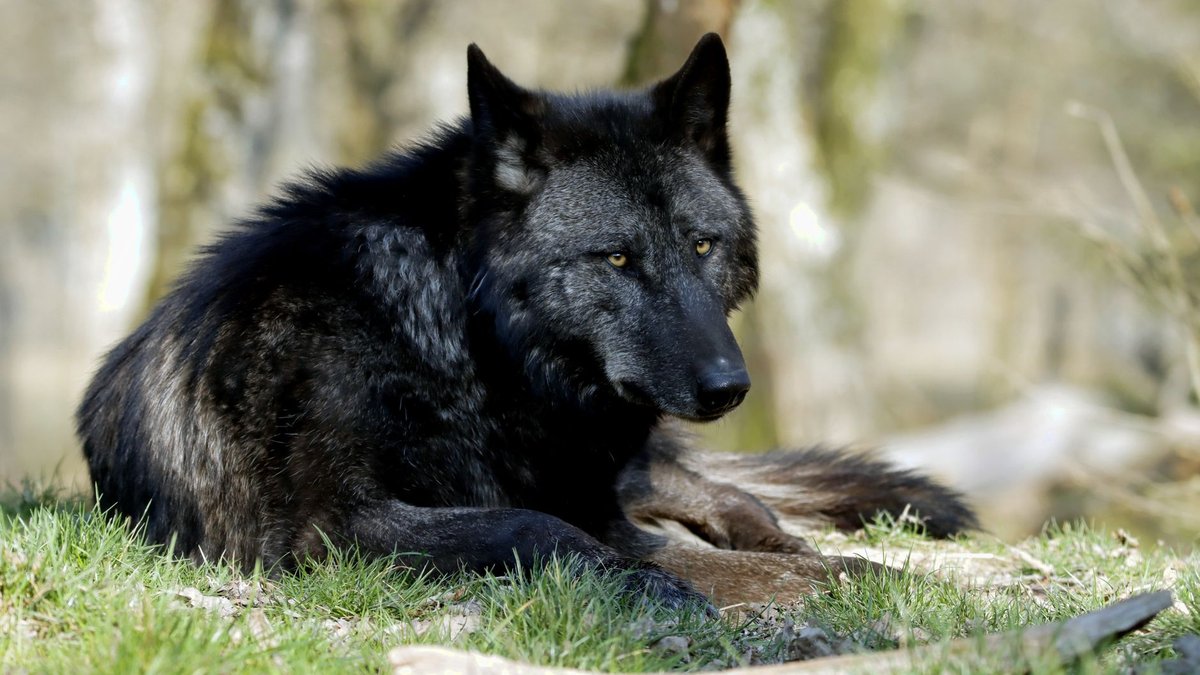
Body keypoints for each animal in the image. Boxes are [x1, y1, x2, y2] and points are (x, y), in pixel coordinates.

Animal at [77, 34, 975, 608]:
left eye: (703, 244)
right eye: (617, 258)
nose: (730, 386)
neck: (453, 344)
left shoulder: (598, 494)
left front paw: (852, 570)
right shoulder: (330, 527)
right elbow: (542, 527)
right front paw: (663, 586)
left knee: (725, 494)